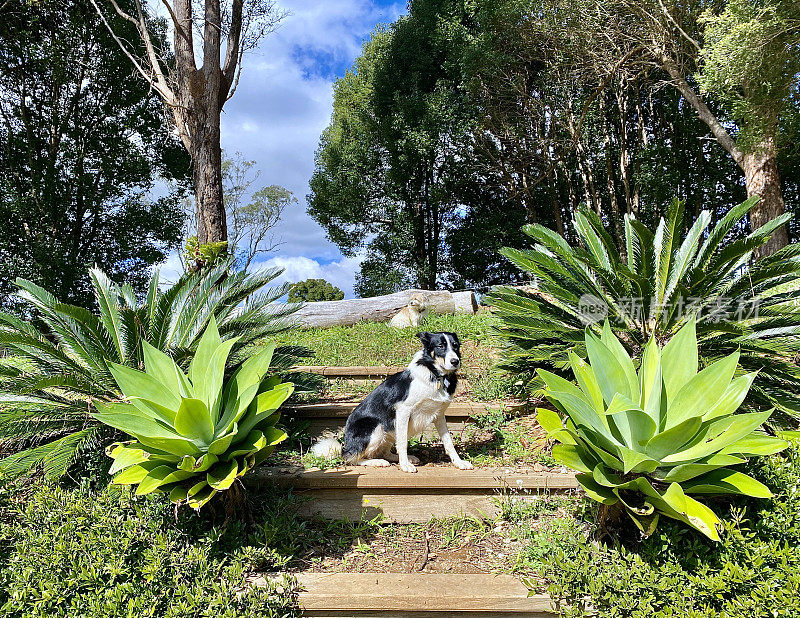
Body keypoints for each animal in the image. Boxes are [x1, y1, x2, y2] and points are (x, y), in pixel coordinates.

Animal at [310, 332, 476, 472]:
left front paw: (459, 462)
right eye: (440, 346)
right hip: (376, 427)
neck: (436, 375)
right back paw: (377, 462)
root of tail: (345, 445)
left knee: (384, 452)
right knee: (351, 458)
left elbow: (449, 443)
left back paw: (405, 459)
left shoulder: (439, 415)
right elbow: (402, 443)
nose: (455, 361)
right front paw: (405, 466)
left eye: (455, 345)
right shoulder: (403, 411)